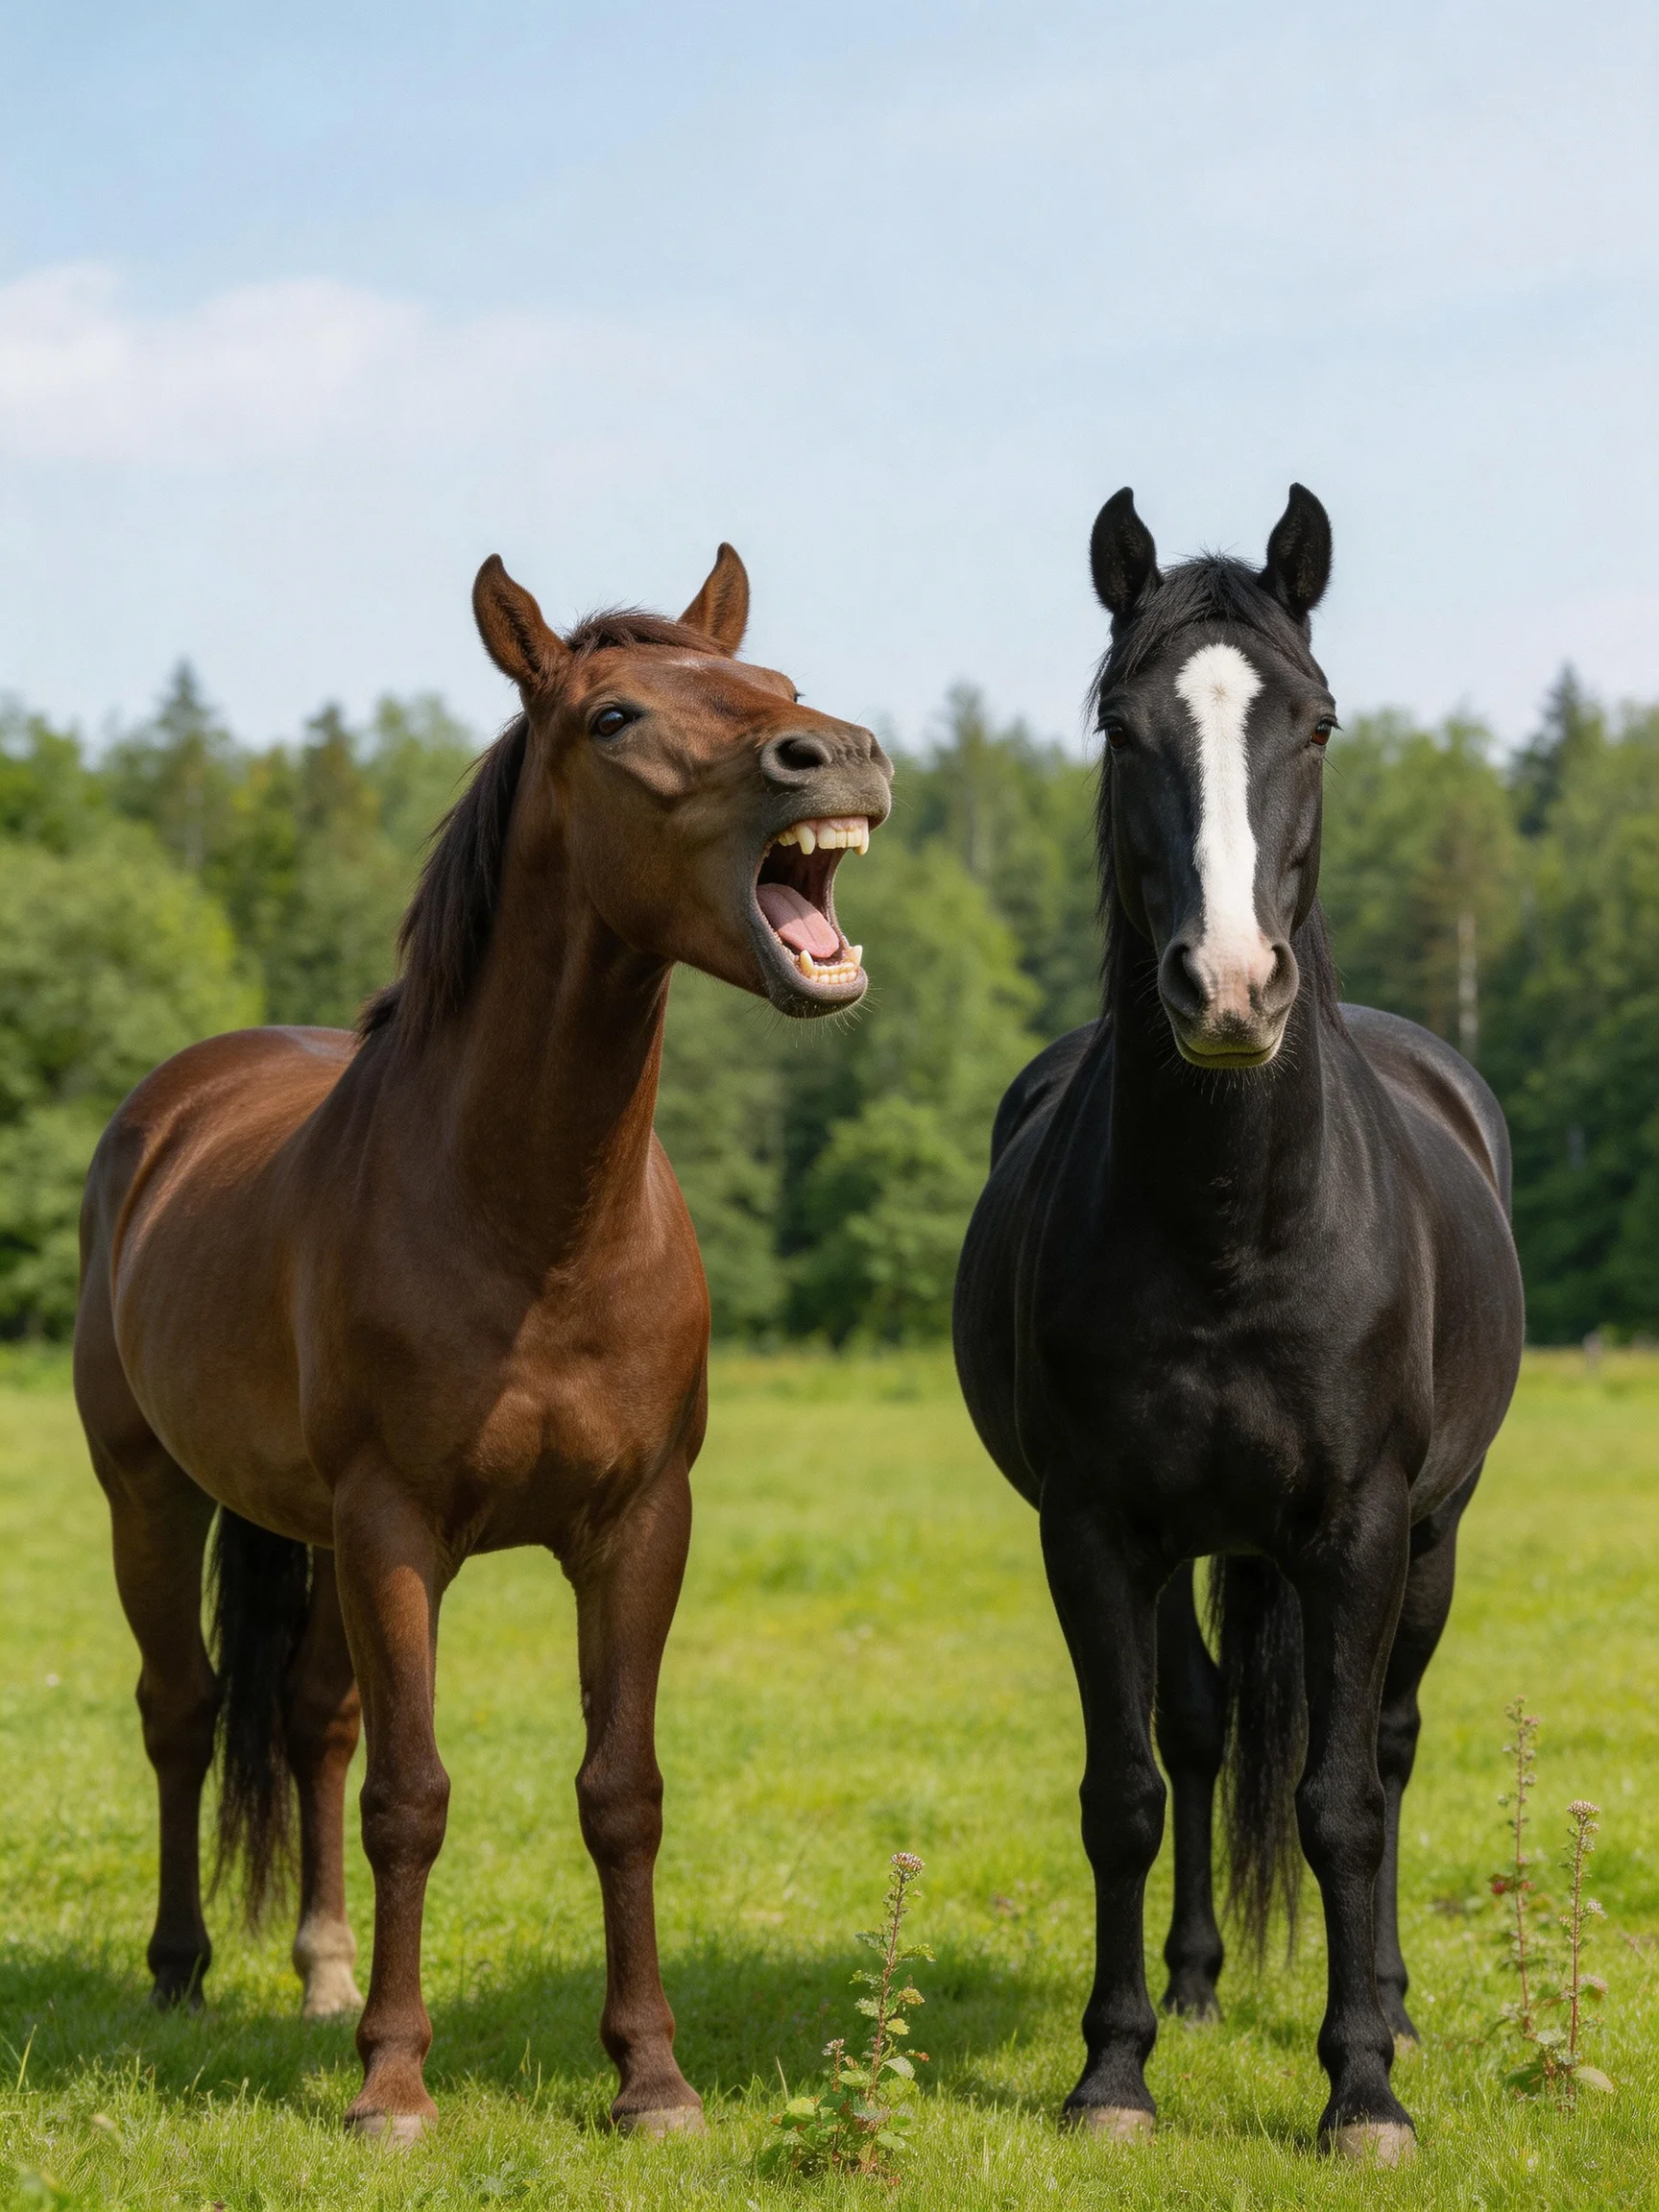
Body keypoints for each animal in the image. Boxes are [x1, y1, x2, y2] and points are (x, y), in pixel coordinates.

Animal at [73, 543, 893, 2140]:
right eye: (616, 716)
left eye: (766, 684)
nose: (836, 754)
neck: (535, 1218)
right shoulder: (398, 1528)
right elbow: (413, 1797)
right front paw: (393, 2084)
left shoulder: (638, 1527)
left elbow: (619, 1791)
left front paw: (650, 2078)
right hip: (152, 1494)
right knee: (183, 1714)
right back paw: (181, 1973)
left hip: (310, 1534)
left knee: (310, 1722)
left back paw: (319, 1973)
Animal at [953, 486, 1523, 2166]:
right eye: (1119, 725)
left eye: (1316, 722)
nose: (1227, 988)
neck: (1233, 1231)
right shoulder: (1095, 1531)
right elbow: (1129, 1788)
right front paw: (1114, 2069)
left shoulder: (1358, 1528)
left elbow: (1339, 1801)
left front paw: (1364, 2087)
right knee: (1205, 1733)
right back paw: (1200, 1988)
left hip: (1431, 1538)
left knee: (1385, 1747)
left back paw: (1390, 1999)